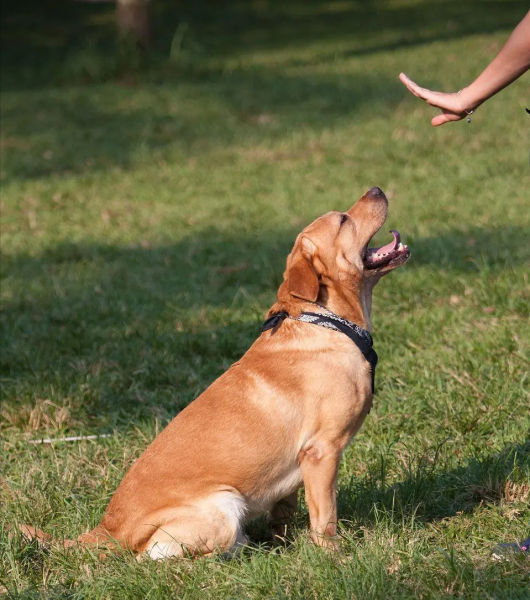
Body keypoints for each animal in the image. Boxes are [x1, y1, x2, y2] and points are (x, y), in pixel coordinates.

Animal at [19, 186, 408, 556]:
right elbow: (325, 518)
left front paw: (287, 546)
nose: (377, 189)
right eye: (343, 220)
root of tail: (107, 530)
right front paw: (334, 556)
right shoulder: (322, 452)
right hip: (224, 505)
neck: (325, 319)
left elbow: (284, 515)